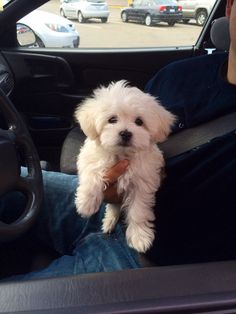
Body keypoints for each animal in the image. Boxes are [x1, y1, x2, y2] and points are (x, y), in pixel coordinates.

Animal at [74, 80, 175, 253]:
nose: (125, 133)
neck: (122, 155)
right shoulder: (89, 158)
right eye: (112, 119)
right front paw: (86, 202)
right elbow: (93, 171)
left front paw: (139, 236)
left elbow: (138, 210)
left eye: (139, 122)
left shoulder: (142, 183)